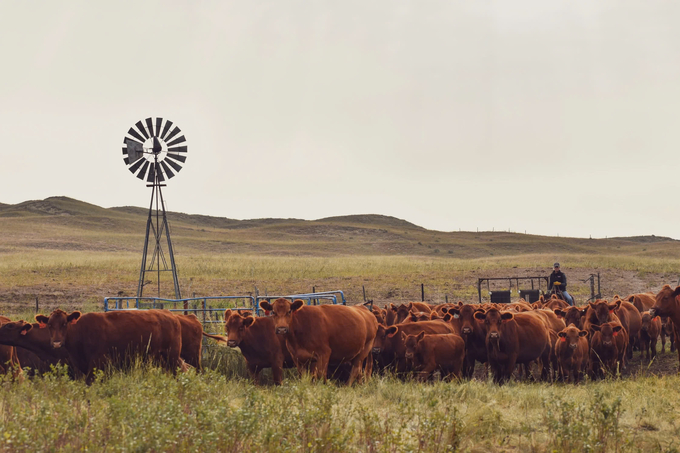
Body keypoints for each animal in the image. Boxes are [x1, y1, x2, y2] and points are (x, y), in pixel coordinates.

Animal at [34, 308, 183, 384]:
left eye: (64, 324)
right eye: (49, 325)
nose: (57, 342)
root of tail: (171, 315)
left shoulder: (98, 364)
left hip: (171, 356)